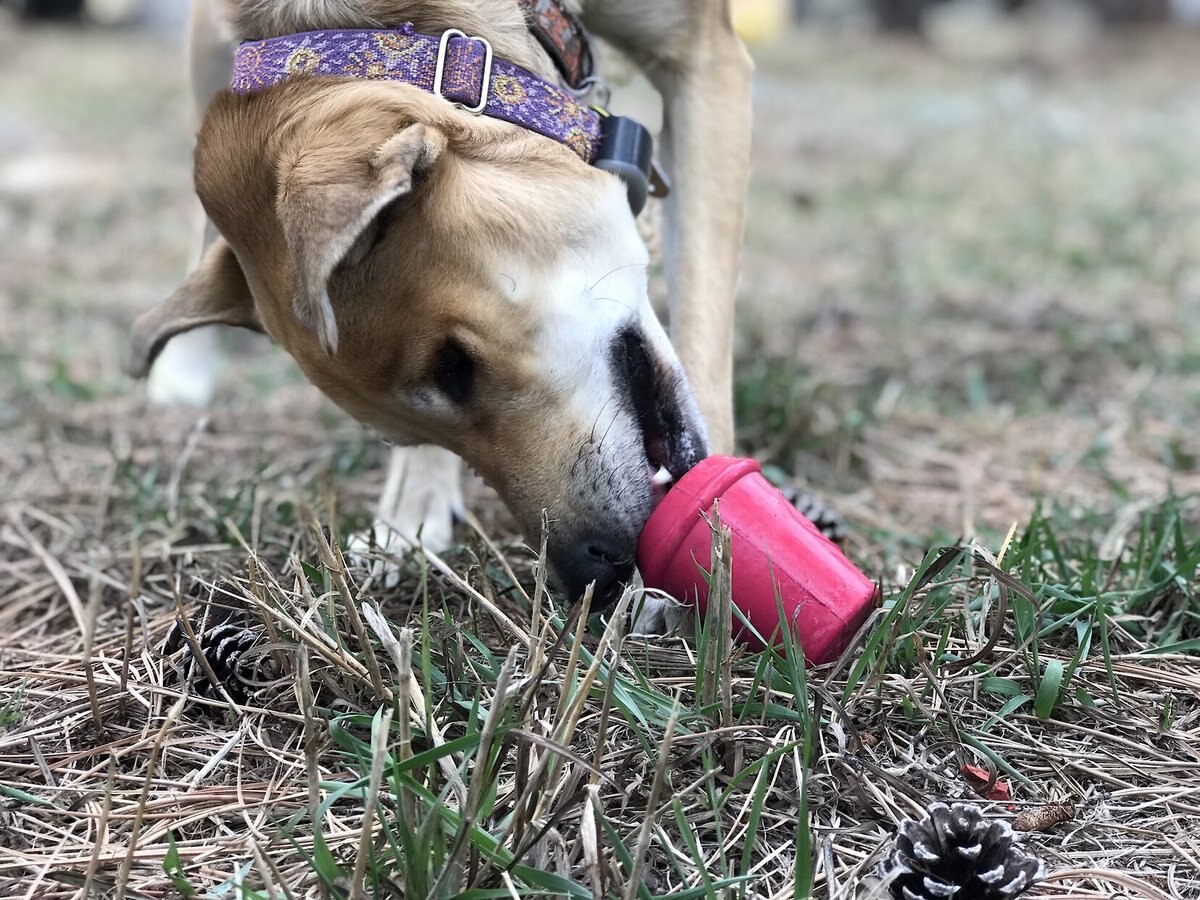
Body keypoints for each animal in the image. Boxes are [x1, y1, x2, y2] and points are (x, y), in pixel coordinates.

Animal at [131, 0, 748, 619]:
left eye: (454, 366)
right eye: (403, 436)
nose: (592, 577)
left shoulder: (704, 58)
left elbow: (703, 321)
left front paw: (709, 553)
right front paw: (410, 512)